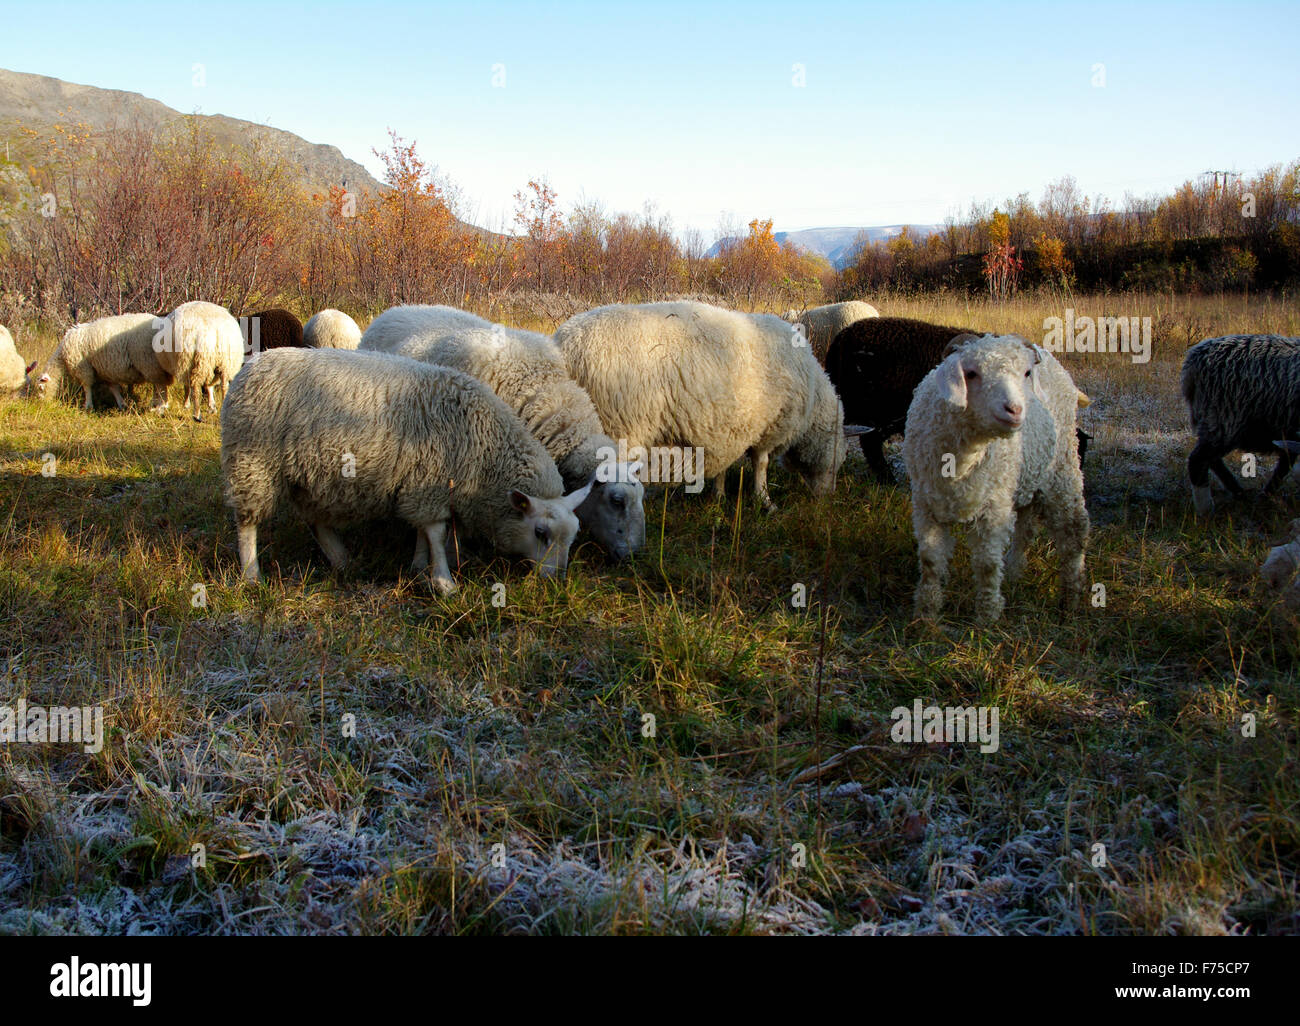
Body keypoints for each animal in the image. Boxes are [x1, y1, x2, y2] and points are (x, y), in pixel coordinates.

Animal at [31, 313, 172, 410]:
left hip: (148, 361)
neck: (62, 358)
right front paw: (122, 404)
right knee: (158, 384)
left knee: (159, 384)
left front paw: (88, 406)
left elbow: (87, 387)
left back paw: (161, 405)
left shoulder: (83, 368)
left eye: (40, 388)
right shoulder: (104, 370)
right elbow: (113, 388)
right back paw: (157, 404)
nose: (41, 404)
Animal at [221, 347, 593, 594]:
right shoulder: (429, 484)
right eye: (540, 533)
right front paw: (443, 582)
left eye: (574, 535)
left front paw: (418, 565)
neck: (484, 449)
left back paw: (341, 559)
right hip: (252, 463)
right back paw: (251, 574)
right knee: (247, 523)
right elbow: (437, 533)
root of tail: (249, 367)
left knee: (314, 519)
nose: (557, 583)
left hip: (308, 474)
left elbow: (422, 531)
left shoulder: (420, 486)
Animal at [554, 301, 847, 510]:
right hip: (620, 425)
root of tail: (565, 344)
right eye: (837, 461)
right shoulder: (771, 425)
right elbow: (761, 464)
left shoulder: (731, 427)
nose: (828, 499)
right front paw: (764, 500)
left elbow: (726, 465)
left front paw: (718, 496)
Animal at [902, 334, 1089, 622]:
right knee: (1026, 529)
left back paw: (1071, 599)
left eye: (1026, 372)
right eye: (971, 373)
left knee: (1074, 531)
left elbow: (987, 564)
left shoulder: (994, 508)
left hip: (1063, 469)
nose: (1014, 410)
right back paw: (1013, 573)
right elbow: (930, 560)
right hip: (1027, 478)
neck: (962, 461)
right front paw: (926, 615)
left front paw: (986, 618)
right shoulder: (925, 505)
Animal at [1181, 334, 1300, 515]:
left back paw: (1241, 493)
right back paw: (1207, 510)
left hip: (1215, 421)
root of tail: (1193, 363)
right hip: (1225, 418)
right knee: (1198, 460)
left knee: (1212, 460)